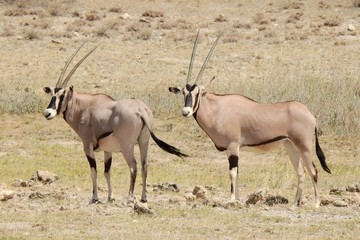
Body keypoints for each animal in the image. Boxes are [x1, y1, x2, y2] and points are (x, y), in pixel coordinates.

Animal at [43, 43, 187, 204]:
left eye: (62, 95)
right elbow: (107, 171)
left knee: (133, 167)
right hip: (144, 142)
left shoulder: (87, 146)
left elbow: (94, 171)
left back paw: (130, 197)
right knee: (145, 165)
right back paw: (143, 197)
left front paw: (95, 197)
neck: (85, 107)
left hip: (127, 146)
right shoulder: (108, 150)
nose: (47, 113)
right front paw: (110, 196)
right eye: (52, 94)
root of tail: (140, 109)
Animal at [169, 31, 332, 208]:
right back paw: (295, 203)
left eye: (197, 93)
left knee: (313, 170)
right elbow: (238, 173)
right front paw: (238, 200)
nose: (186, 111)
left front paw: (231, 200)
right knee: (301, 172)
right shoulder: (233, 149)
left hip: (304, 146)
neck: (217, 108)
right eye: (183, 93)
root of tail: (310, 114)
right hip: (291, 146)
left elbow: (232, 173)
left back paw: (316, 204)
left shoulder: (233, 146)